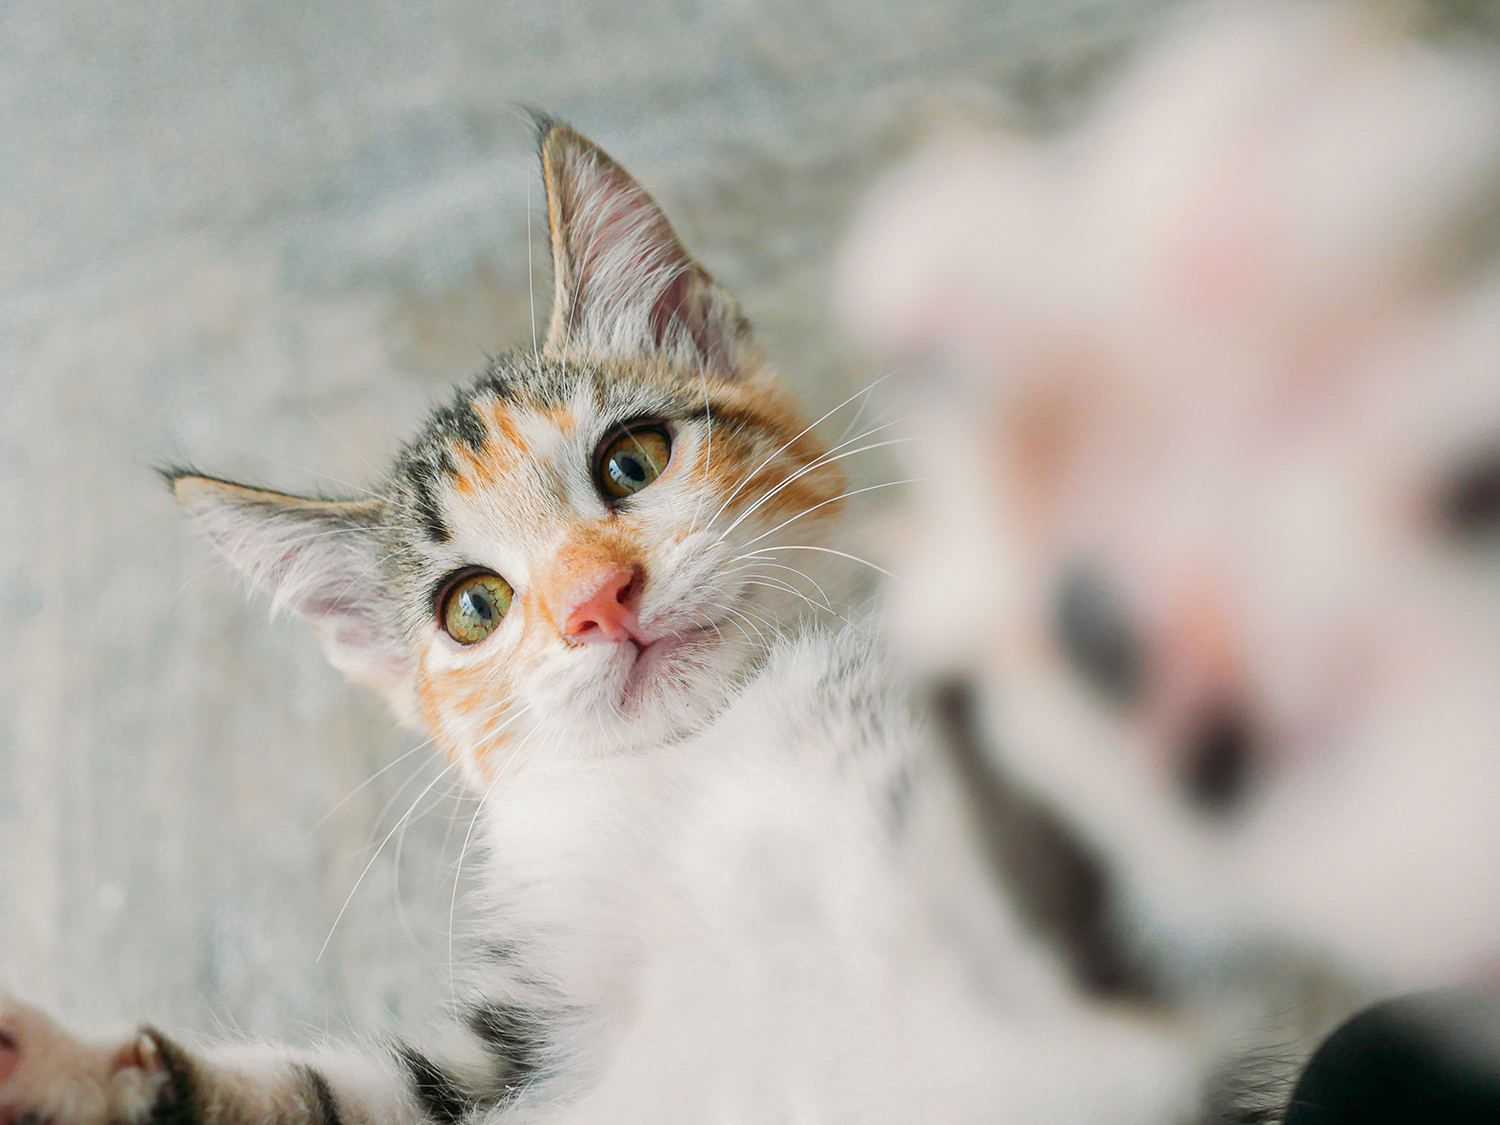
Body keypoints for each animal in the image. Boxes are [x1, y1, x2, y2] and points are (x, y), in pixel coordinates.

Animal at [0, 123, 1194, 1125]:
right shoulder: (526, 1052)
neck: (696, 753)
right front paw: (63, 1068)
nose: (594, 599)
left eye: (633, 459)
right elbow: (328, 1091)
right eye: (473, 605)